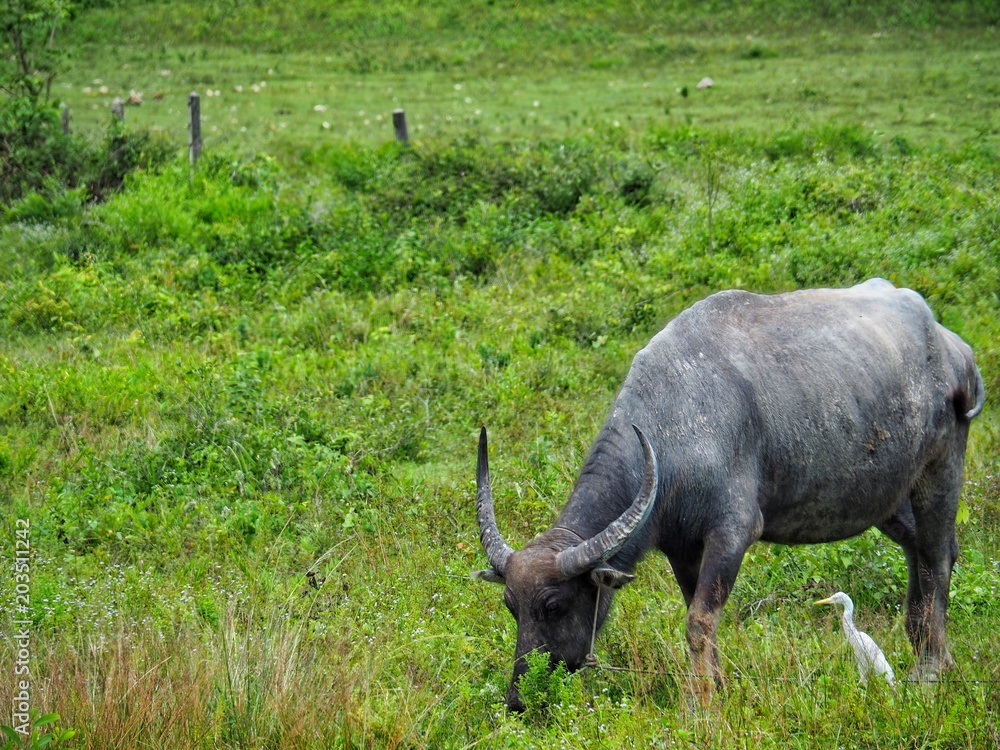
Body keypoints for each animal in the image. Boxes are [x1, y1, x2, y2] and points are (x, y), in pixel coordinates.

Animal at [474, 279, 984, 710]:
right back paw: (922, 650)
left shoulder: (732, 532)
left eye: (553, 606)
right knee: (921, 551)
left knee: (937, 557)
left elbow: (700, 620)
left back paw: (930, 669)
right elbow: (696, 613)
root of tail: (951, 345)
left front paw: (700, 702)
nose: (518, 699)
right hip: (889, 499)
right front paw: (717, 685)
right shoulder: (682, 548)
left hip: (941, 468)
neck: (672, 427)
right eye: (511, 606)